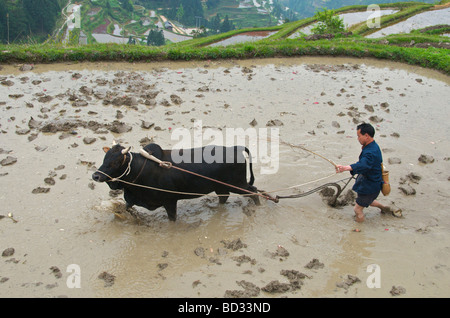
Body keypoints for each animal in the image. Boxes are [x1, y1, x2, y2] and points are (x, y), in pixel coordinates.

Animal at [91, 142, 260, 221]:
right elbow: (125, 208)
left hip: (238, 184)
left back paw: (258, 207)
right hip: (221, 187)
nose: (95, 176)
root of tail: (235, 148)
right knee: (224, 197)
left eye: (116, 161)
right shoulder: (132, 199)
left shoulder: (169, 202)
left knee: (254, 191)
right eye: (105, 158)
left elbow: (172, 219)